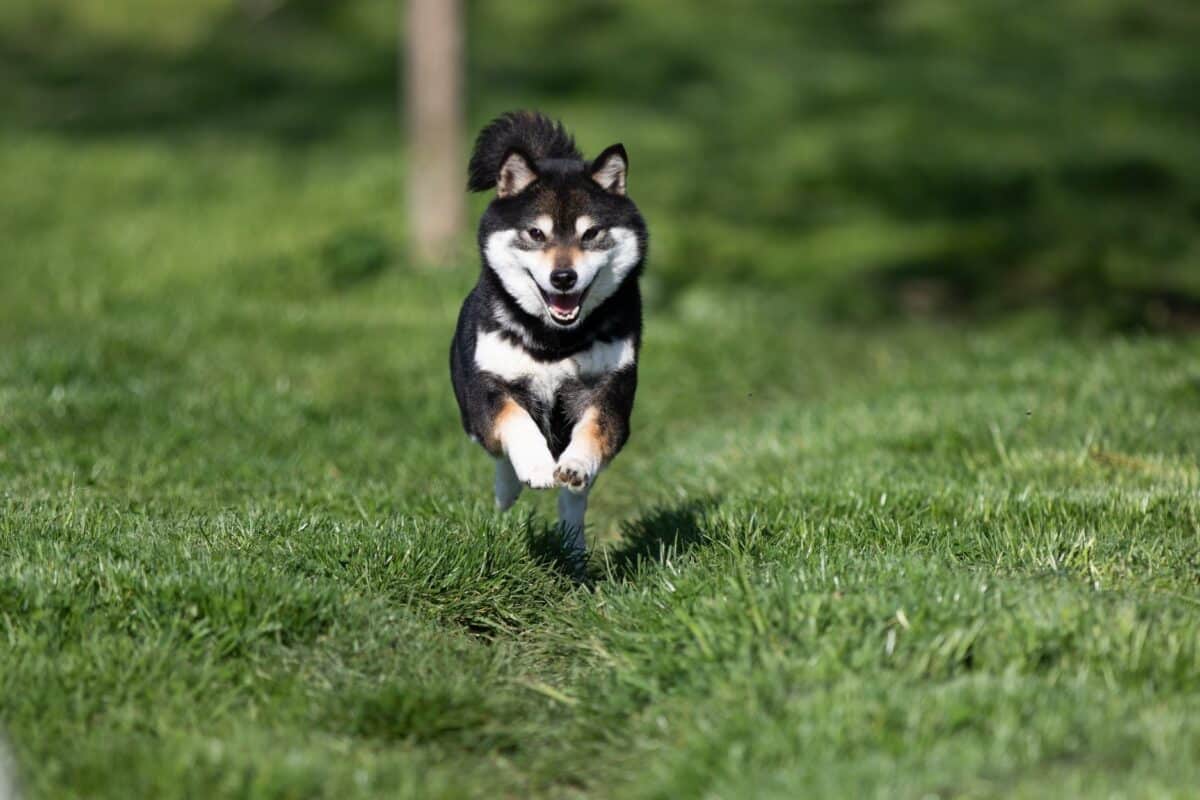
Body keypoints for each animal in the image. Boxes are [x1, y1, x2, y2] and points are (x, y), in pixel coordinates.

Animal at [451, 110, 648, 563]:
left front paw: (574, 465)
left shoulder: (610, 390)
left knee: (575, 500)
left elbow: (594, 431)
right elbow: (515, 422)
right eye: (536, 234)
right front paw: (536, 467)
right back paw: (508, 492)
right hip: (470, 413)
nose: (563, 277)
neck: (554, 341)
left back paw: (573, 545)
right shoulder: (490, 387)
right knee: (497, 454)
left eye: (590, 234)